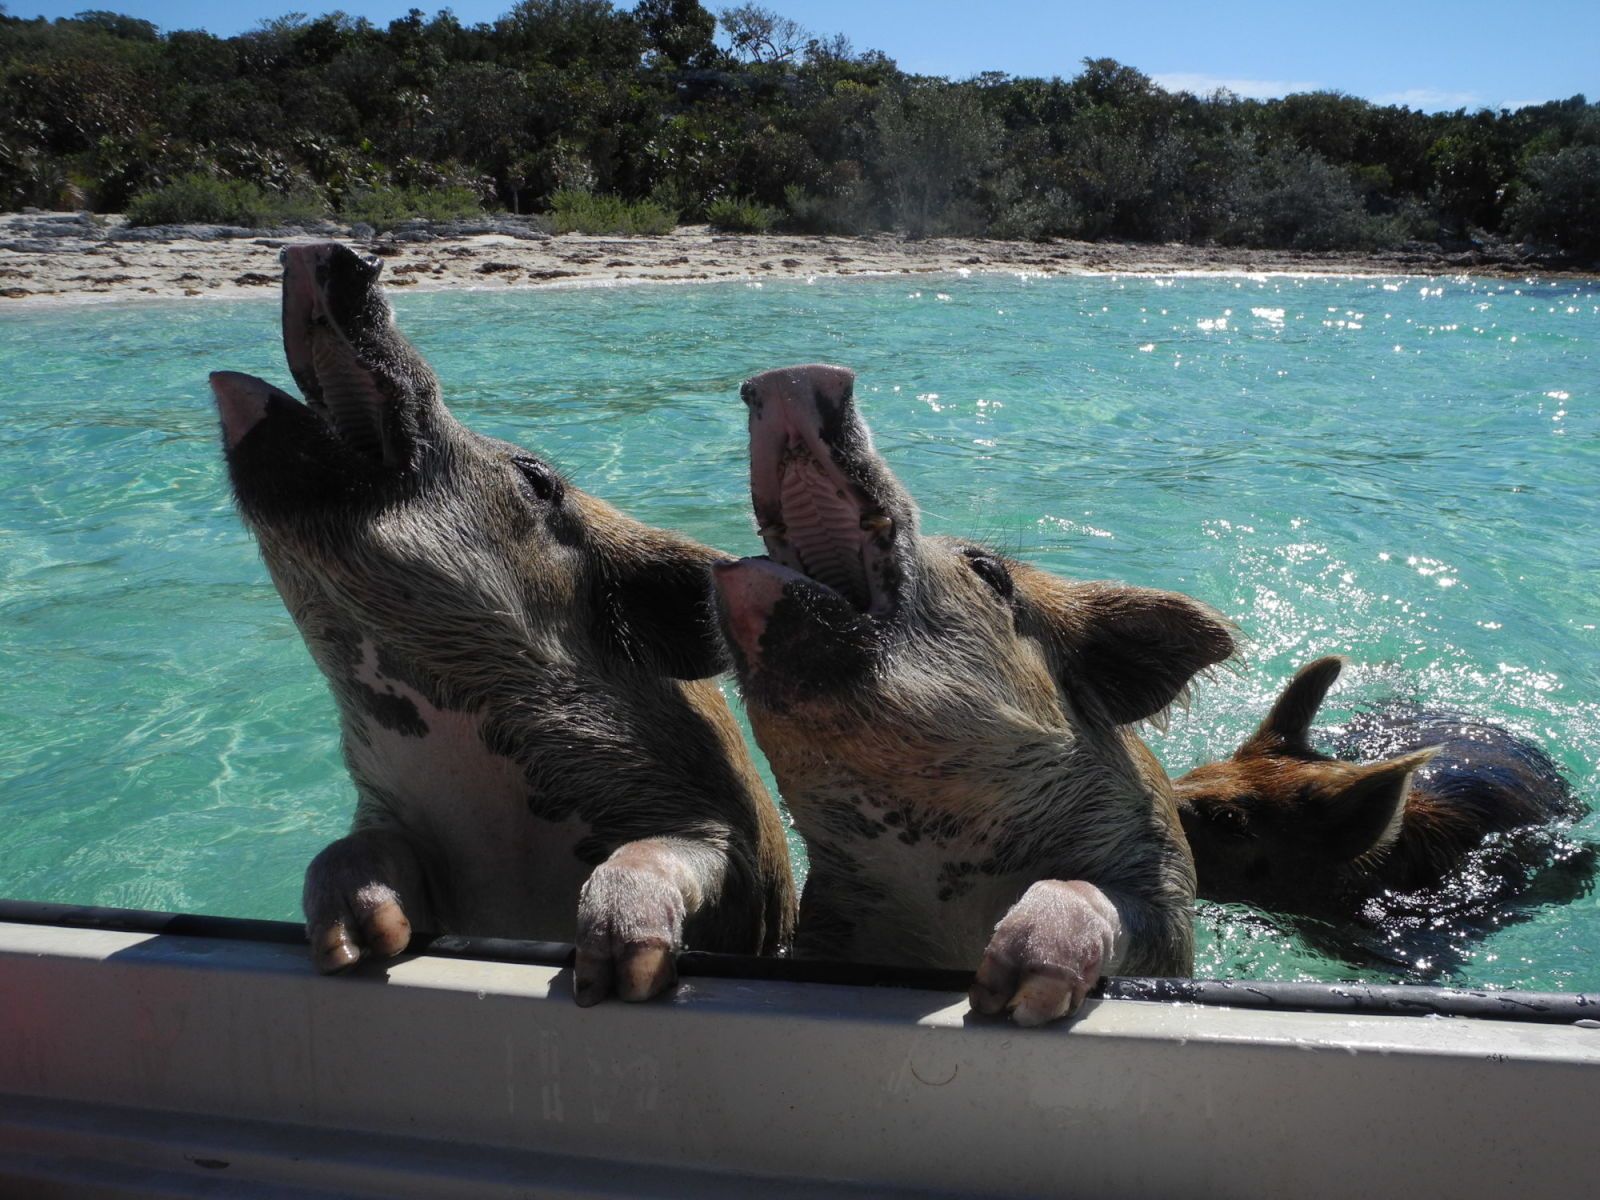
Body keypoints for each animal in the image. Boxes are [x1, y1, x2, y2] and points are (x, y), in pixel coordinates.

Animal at [206, 241, 793, 1004]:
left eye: (538, 479)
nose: (333, 250)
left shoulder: (727, 844)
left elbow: (676, 853)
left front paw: (613, 974)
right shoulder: (390, 815)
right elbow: (348, 851)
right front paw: (350, 946)